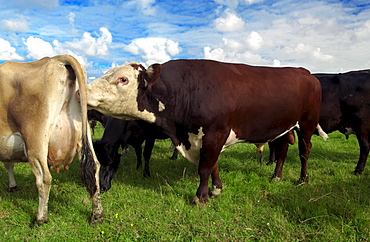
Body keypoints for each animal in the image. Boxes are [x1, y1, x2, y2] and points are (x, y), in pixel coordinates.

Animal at [0, 54, 103, 227]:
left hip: (35, 139)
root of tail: (56, 58)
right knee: (94, 167)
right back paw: (97, 215)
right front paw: (12, 185)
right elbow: (9, 163)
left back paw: (40, 218)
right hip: (83, 129)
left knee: (44, 179)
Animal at [86, 59, 320, 203]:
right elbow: (213, 164)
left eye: (123, 79)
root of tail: (305, 72)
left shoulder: (215, 134)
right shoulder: (204, 139)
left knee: (304, 152)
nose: (85, 90)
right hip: (283, 128)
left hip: (306, 125)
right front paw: (216, 189)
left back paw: (302, 179)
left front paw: (201, 196)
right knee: (281, 152)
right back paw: (276, 176)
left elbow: (205, 167)